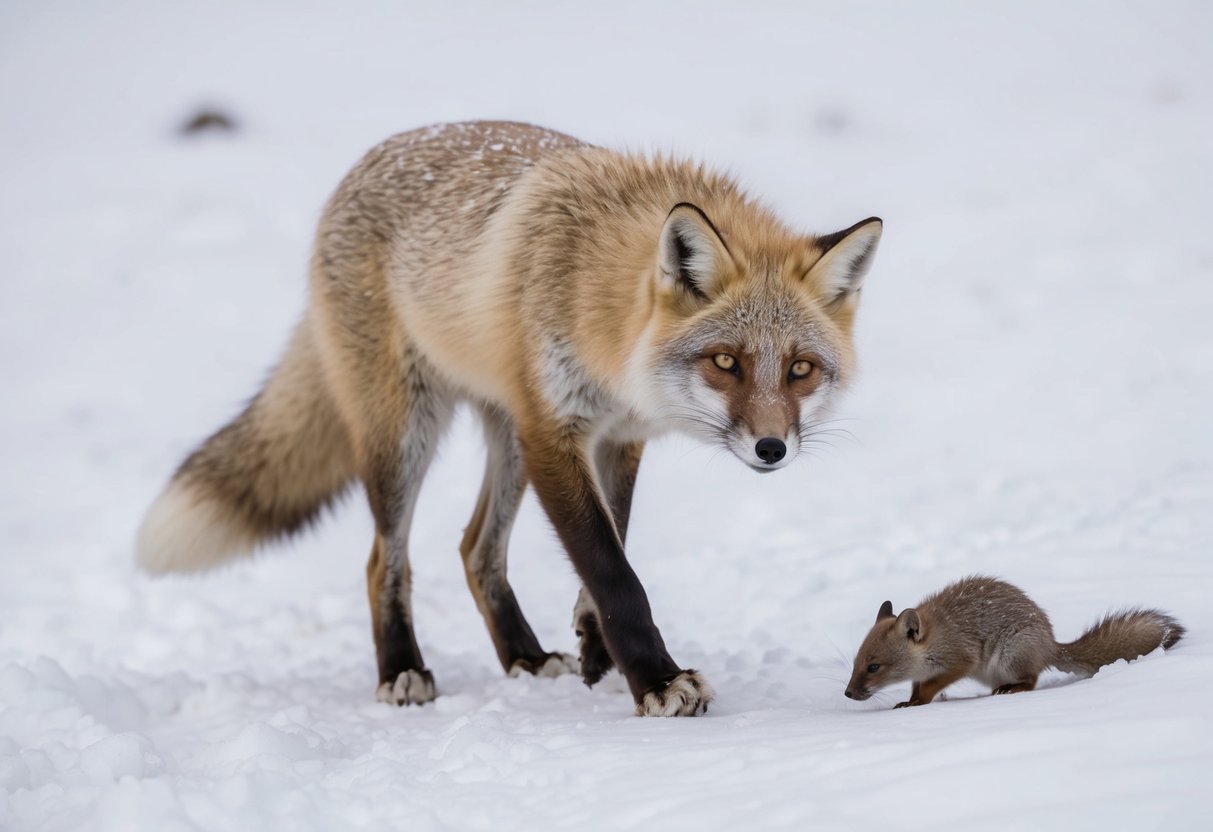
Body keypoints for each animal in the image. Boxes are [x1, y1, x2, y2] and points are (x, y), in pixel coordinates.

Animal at [137, 120, 883, 716]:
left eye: (799, 369)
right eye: (726, 362)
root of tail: (369, 158)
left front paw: (596, 648)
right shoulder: (554, 432)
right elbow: (614, 573)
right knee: (385, 560)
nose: (771, 449)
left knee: (475, 550)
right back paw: (402, 669)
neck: (599, 312)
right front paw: (657, 681)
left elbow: (612, 548)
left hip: (505, 437)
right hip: (407, 435)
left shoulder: (616, 438)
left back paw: (523, 657)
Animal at [845, 576, 1185, 708]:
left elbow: (929, 690)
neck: (935, 640)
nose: (848, 693)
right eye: (856, 662)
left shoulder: (961, 661)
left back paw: (1011, 690)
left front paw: (916, 705)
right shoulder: (925, 672)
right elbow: (918, 687)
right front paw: (910, 702)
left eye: (873, 667)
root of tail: (1053, 643)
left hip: (1010, 656)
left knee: (1031, 682)